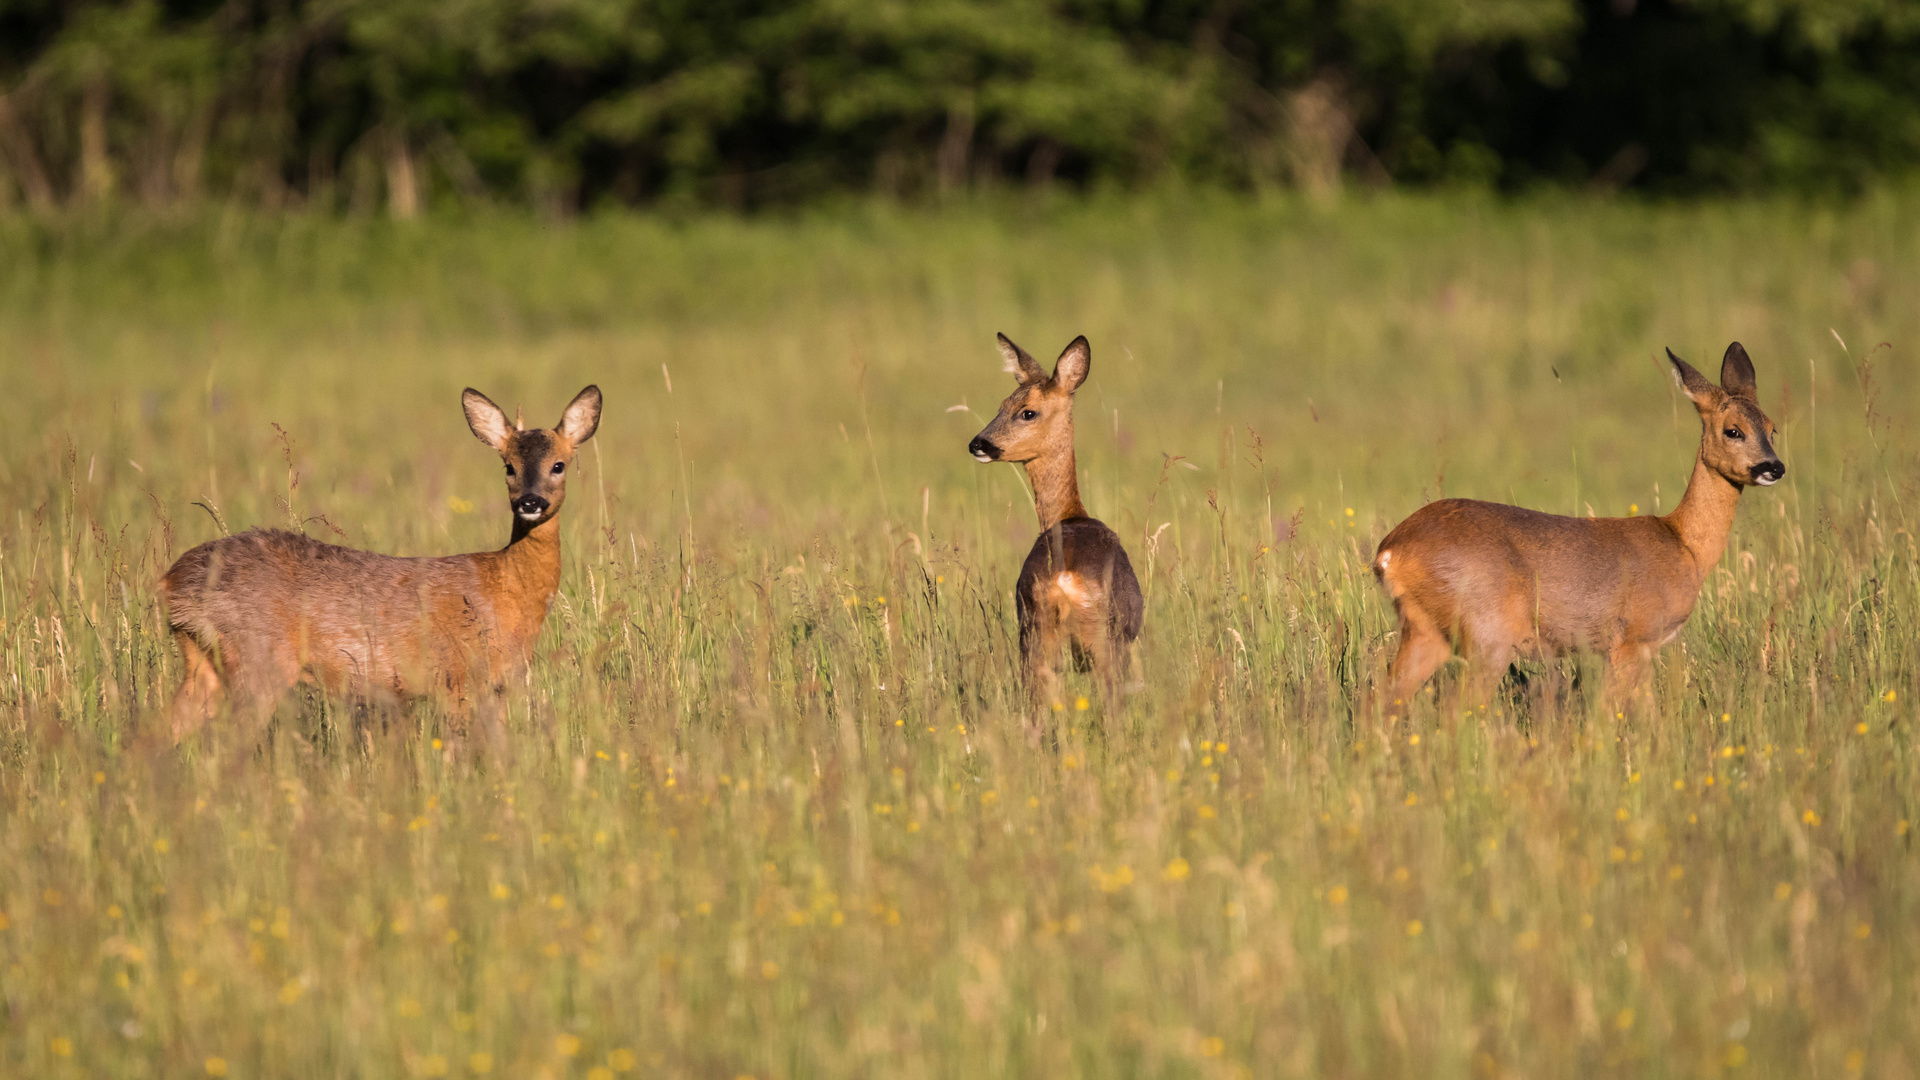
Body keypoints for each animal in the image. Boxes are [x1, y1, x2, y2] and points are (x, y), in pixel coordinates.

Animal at [159, 382, 599, 734]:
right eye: (508, 466)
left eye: (558, 465)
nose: (530, 502)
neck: (505, 587)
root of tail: (173, 582)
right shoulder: (455, 675)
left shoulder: (498, 684)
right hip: (258, 660)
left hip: (202, 662)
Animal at [960, 332, 1136, 711]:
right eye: (1002, 406)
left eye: (1025, 411)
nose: (978, 444)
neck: (1071, 513)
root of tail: (1063, 580)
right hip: (1105, 639)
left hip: (1033, 633)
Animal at [1374, 340, 1789, 703]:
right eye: (1733, 430)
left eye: (1772, 428)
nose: (1774, 467)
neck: (1684, 545)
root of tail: (1389, 553)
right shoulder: (1632, 639)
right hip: (1486, 633)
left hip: (1425, 630)